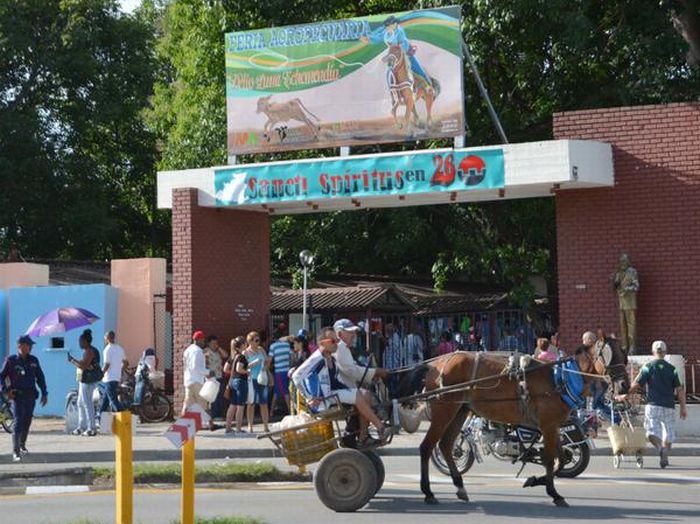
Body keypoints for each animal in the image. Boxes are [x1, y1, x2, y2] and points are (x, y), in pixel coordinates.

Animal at [396, 344, 620, 508]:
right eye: (609, 355)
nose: (623, 384)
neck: (561, 378)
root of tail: (436, 363)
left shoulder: (553, 425)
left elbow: (562, 458)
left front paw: (535, 480)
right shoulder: (548, 425)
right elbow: (550, 459)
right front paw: (554, 493)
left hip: (459, 410)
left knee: (445, 445)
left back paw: (459, 487)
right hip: (444, 410)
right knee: (427, 447)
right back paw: (428, 492)